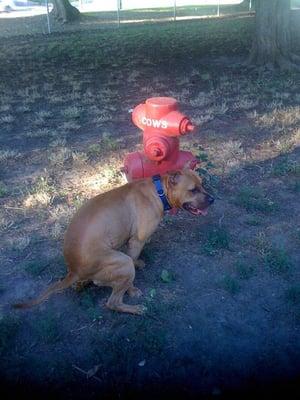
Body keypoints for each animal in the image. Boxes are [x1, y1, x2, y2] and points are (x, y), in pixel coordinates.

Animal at [14, 167, 213, 314]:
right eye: (193, 190)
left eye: (202, 185)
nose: (212, 199)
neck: (159, 191)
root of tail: (74, 270)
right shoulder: (136, 242)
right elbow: (133, 259)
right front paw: (132, 289)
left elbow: (135, 257)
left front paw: (139, 264)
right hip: (122, 263)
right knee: (112, 302)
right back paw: (135, 308)